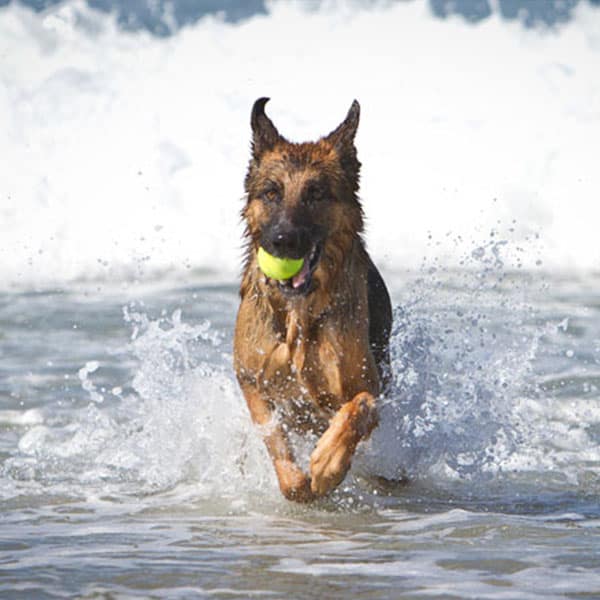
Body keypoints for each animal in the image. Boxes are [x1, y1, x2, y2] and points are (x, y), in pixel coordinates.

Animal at [232, 98, 392, 502]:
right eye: (271, 193)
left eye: (316, 193)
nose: (283, 241)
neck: (298, 316)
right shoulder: (251, 380)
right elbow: (273, 434)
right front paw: (297, 482)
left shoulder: (368, 388)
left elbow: (359, 408)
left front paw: (327, 465)